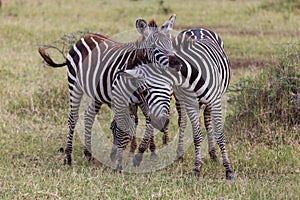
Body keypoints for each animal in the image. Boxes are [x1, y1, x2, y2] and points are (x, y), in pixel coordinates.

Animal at [36, 14, 179, 170]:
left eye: (171, 44)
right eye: (154, 48)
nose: (177, 64)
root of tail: (83, 37)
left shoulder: (142, 100)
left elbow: (144, 122)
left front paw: (140, 153)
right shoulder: (124, 99)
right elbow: (125, 126)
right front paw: (121, 159)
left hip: (97, 93)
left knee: (89, 115)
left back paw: (88, 153)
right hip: (74, 84)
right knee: (73, 118)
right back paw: (68, 156)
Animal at [130, 28, 233, 180]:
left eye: (146, 91)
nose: (155, 121)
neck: (193, 77)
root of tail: (197, 29)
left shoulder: (215, 102)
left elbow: (219, 134)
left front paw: (228, 169)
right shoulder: (190, 103)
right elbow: (196, 136)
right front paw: (197, 168)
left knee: (207, 121)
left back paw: (213, 154)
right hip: (181, 99)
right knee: (183, 122)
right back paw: (180, 155)